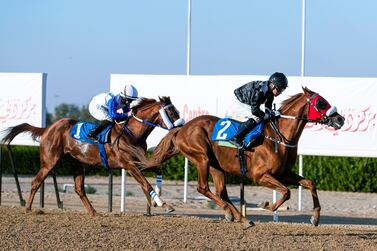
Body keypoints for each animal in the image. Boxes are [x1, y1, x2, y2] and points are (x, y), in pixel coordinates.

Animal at [0, 96, 182, 216]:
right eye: (171, 111)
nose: (181, 126)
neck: (132, 133)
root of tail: (47, 129)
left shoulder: (139, 162)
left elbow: (158, 171)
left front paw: (157, 200)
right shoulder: (129, 164)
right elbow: (145, 183)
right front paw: (162, 203)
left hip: (77, 163)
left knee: (79, 189)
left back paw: (93, 212)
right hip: (49, 162)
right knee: (36, 182)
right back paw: (28, 208)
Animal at [140, 87, 344, 228]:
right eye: (321, 103)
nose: (340, 119)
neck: (279, 137)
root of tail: (182, 128)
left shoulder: (283, 173)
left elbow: (310, 183)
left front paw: (315, 217)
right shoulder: (260, 176)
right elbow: (286, 192)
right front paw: (267, 205)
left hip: (216, 166)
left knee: (221, 192)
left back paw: (240, 217)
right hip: (201, 158)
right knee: (203, 188)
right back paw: (236, 215)